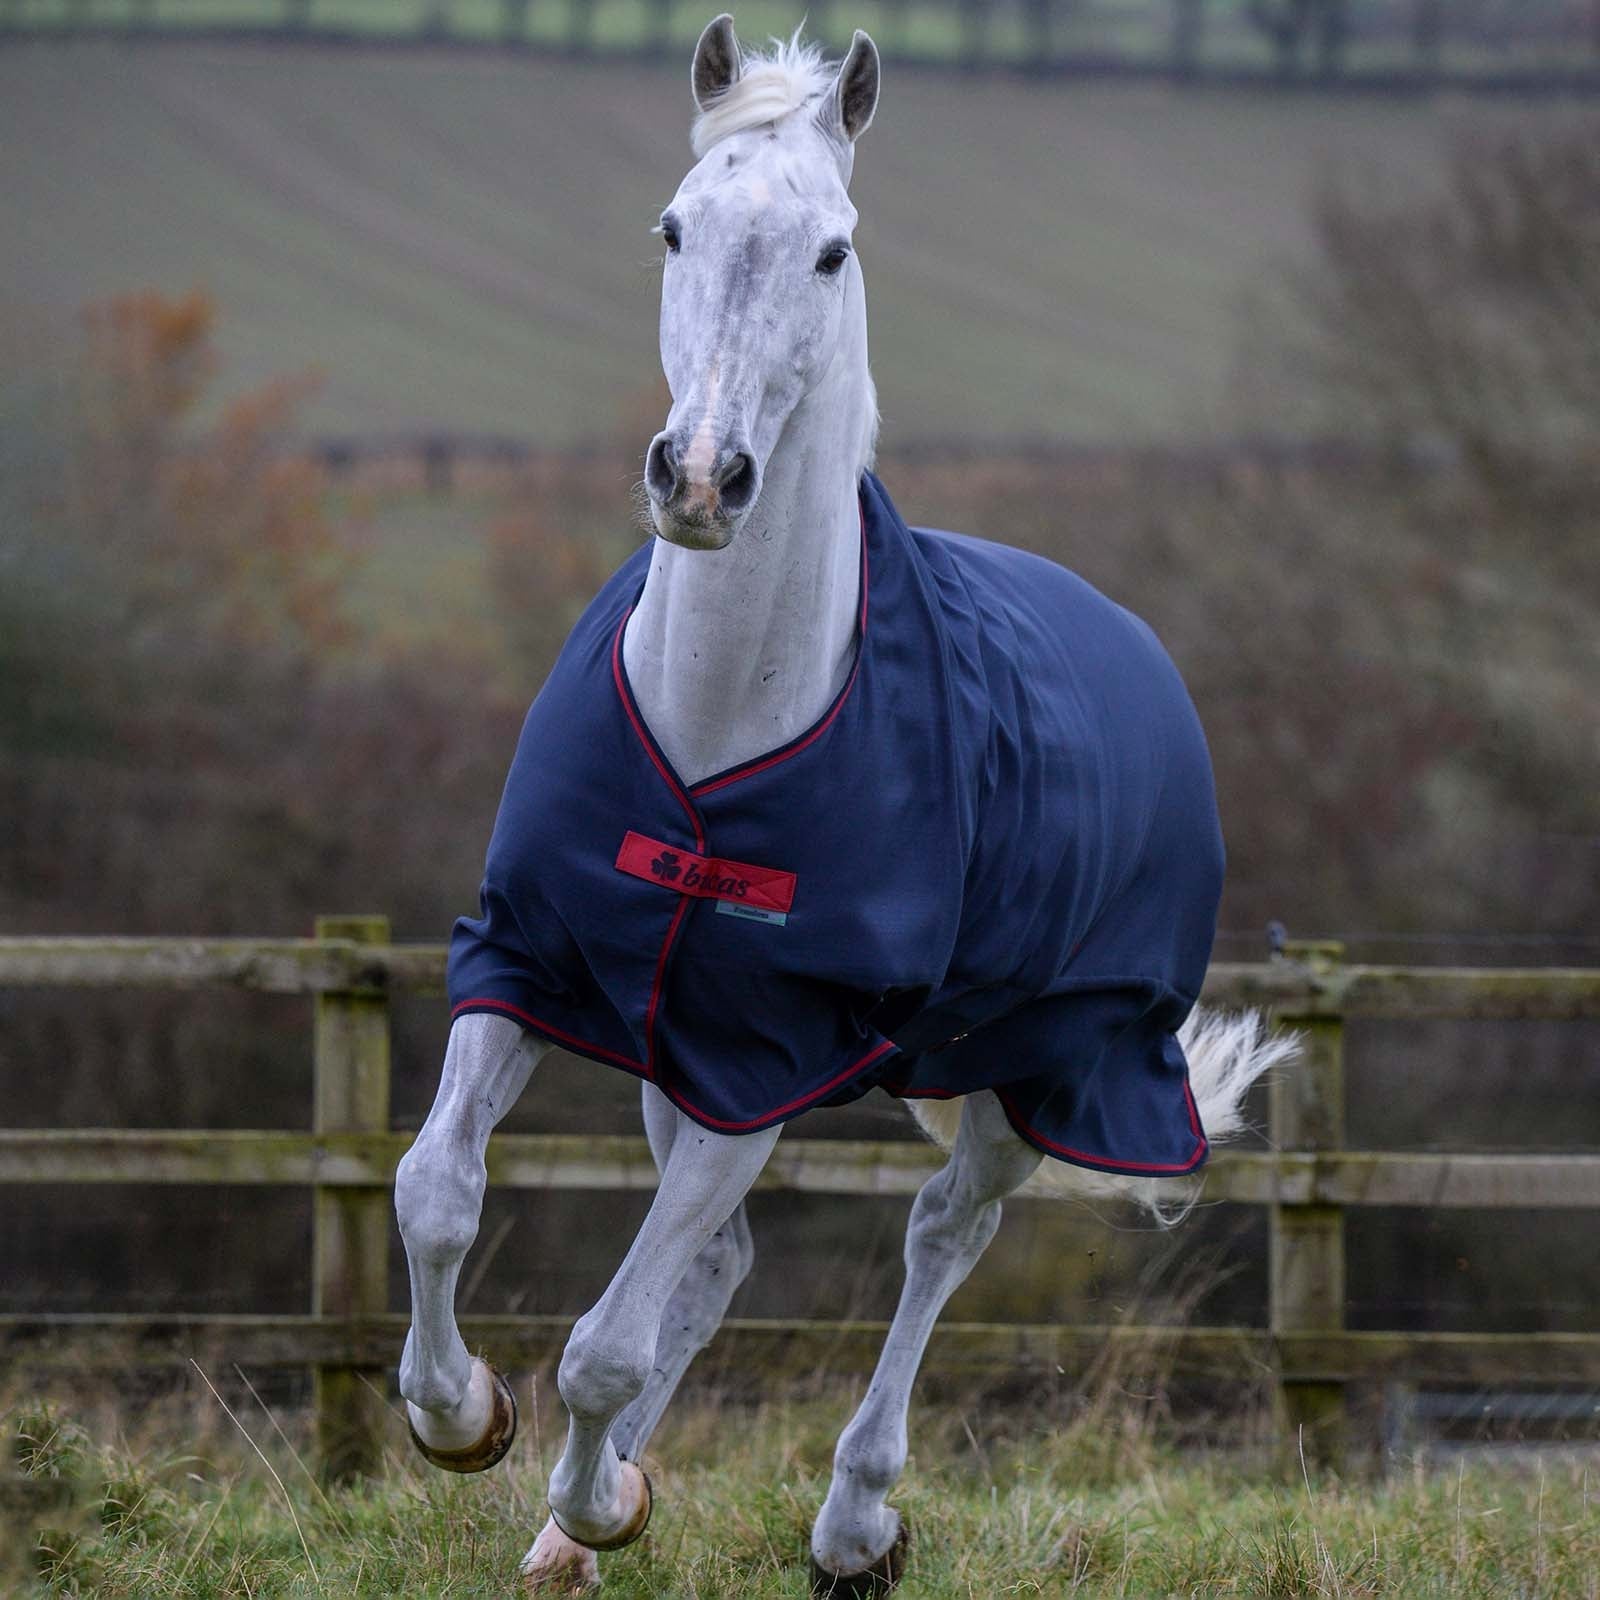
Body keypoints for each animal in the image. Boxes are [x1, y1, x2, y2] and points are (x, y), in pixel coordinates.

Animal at [395, 18, 1295, 1594]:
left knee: (938, 1239)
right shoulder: (538, 966)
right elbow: (436, 1190)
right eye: (674, 227)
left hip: (1045, 1061)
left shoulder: (768, 1054)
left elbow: (605, 1344)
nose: (700, 479)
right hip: (675, 1057)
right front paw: (471, 1427)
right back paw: (584, 1527)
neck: (721, 717)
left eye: (832, 249)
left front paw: (591, 1493)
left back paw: (851, 1522)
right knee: (721, 1263)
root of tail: (1129, 638)